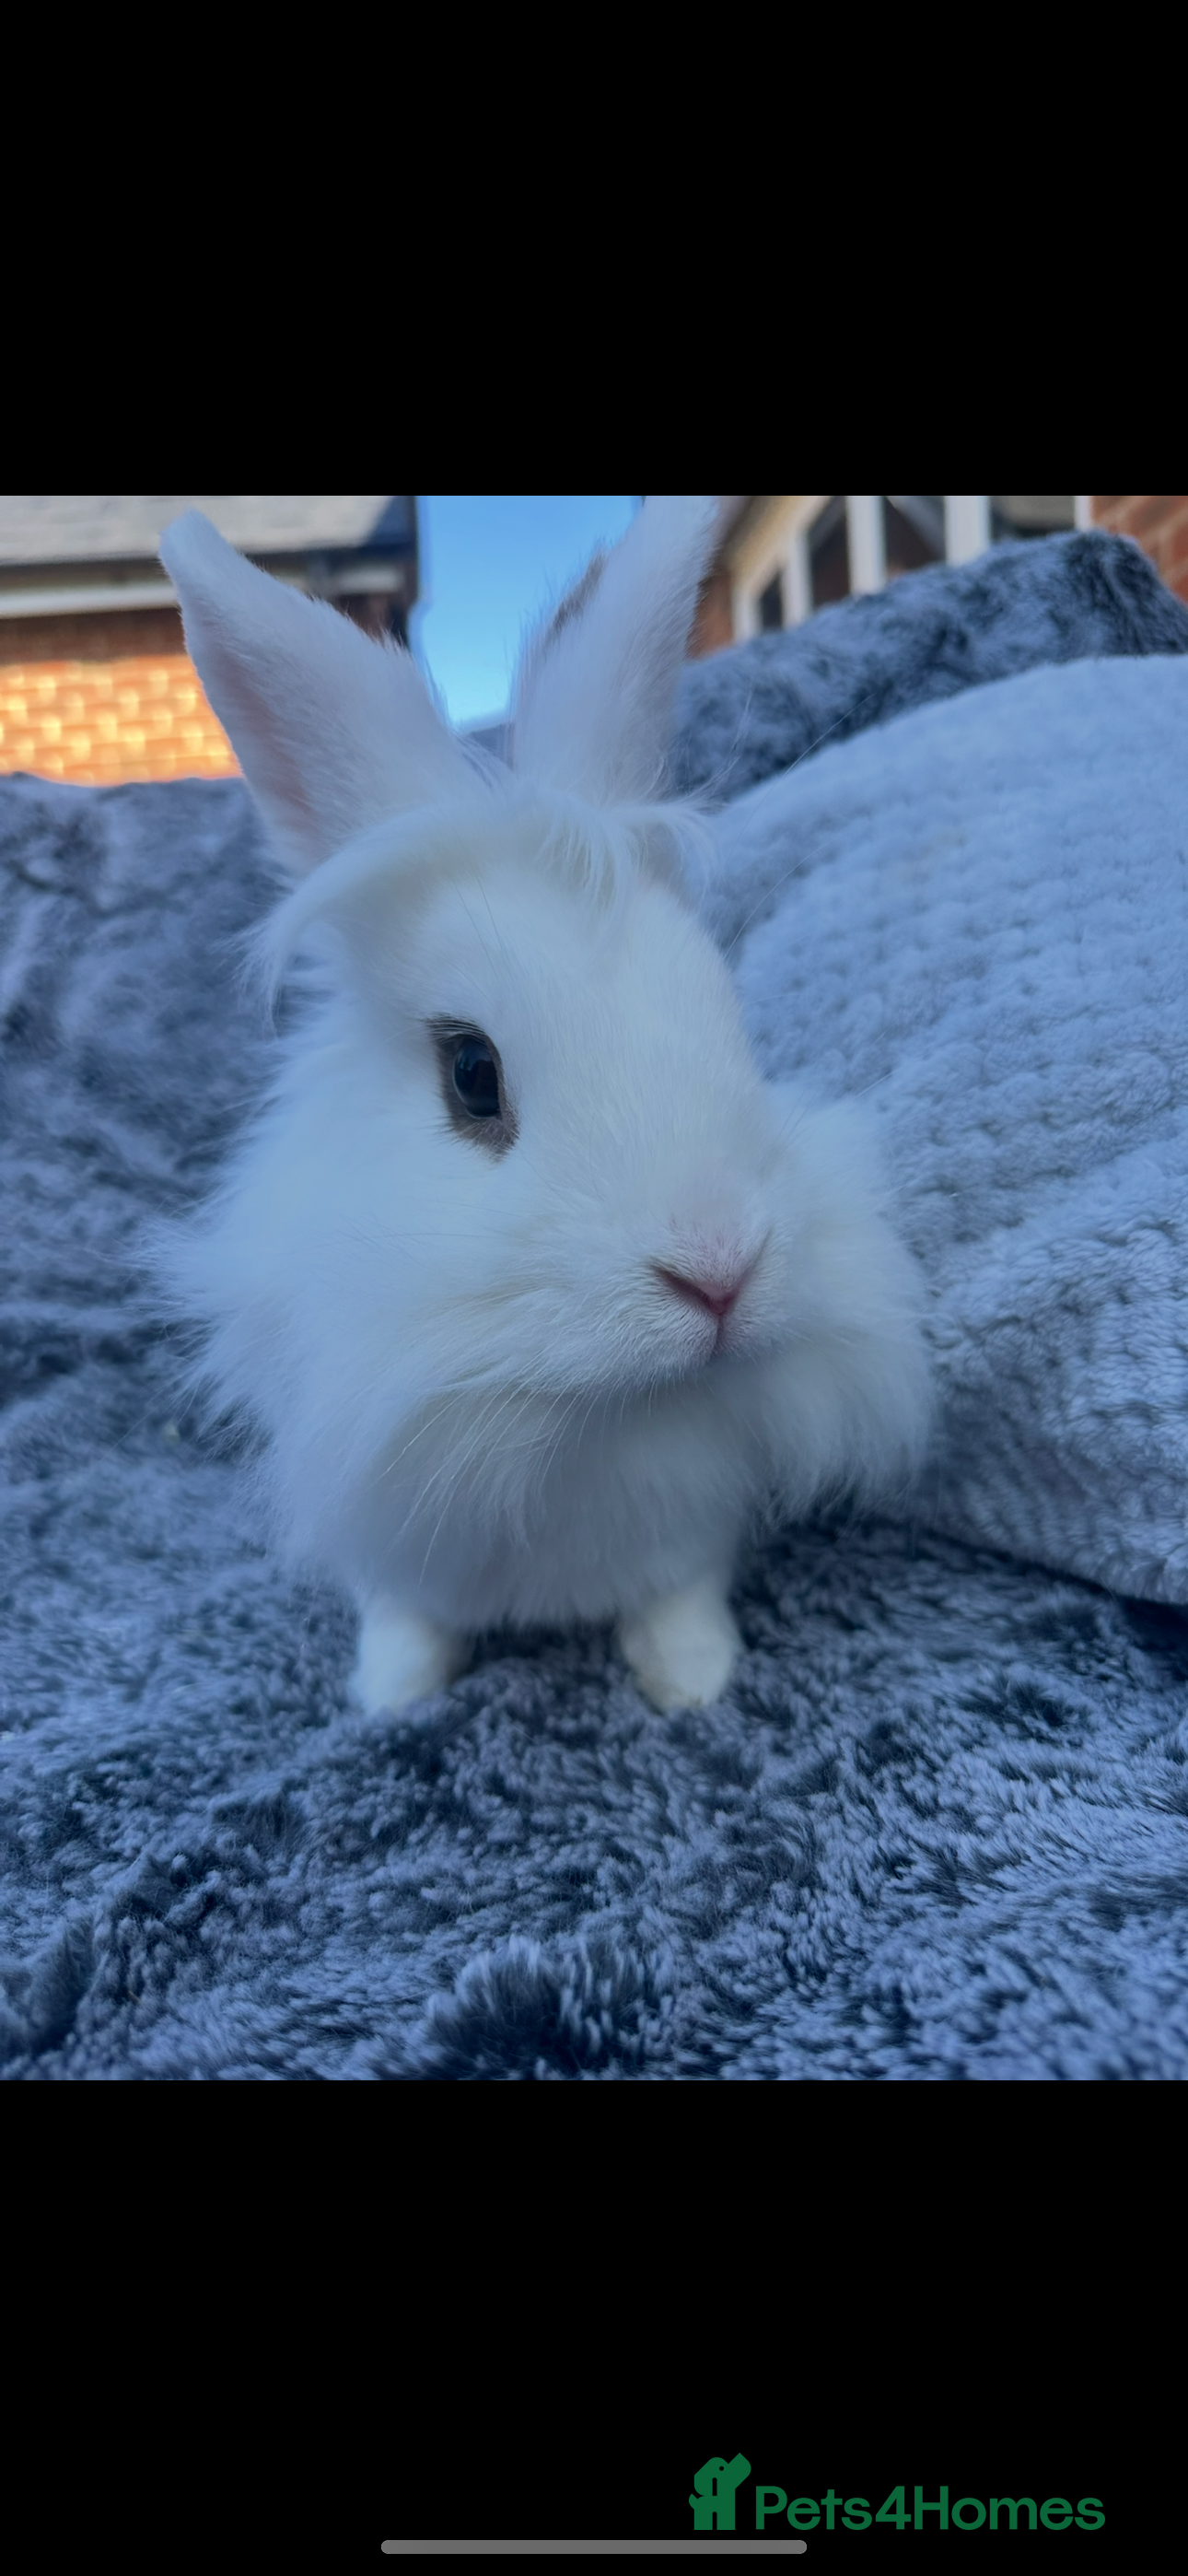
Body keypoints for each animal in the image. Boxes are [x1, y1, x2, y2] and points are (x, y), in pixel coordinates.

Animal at [156, 497, 930, 1719]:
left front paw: (694, 1685)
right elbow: (406, 1621)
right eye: (472, 1074)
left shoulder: (689, 1533)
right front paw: (391, 1701)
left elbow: (681, 1599)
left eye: (731, 1019)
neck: (587, 1416)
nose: (718, 1271)